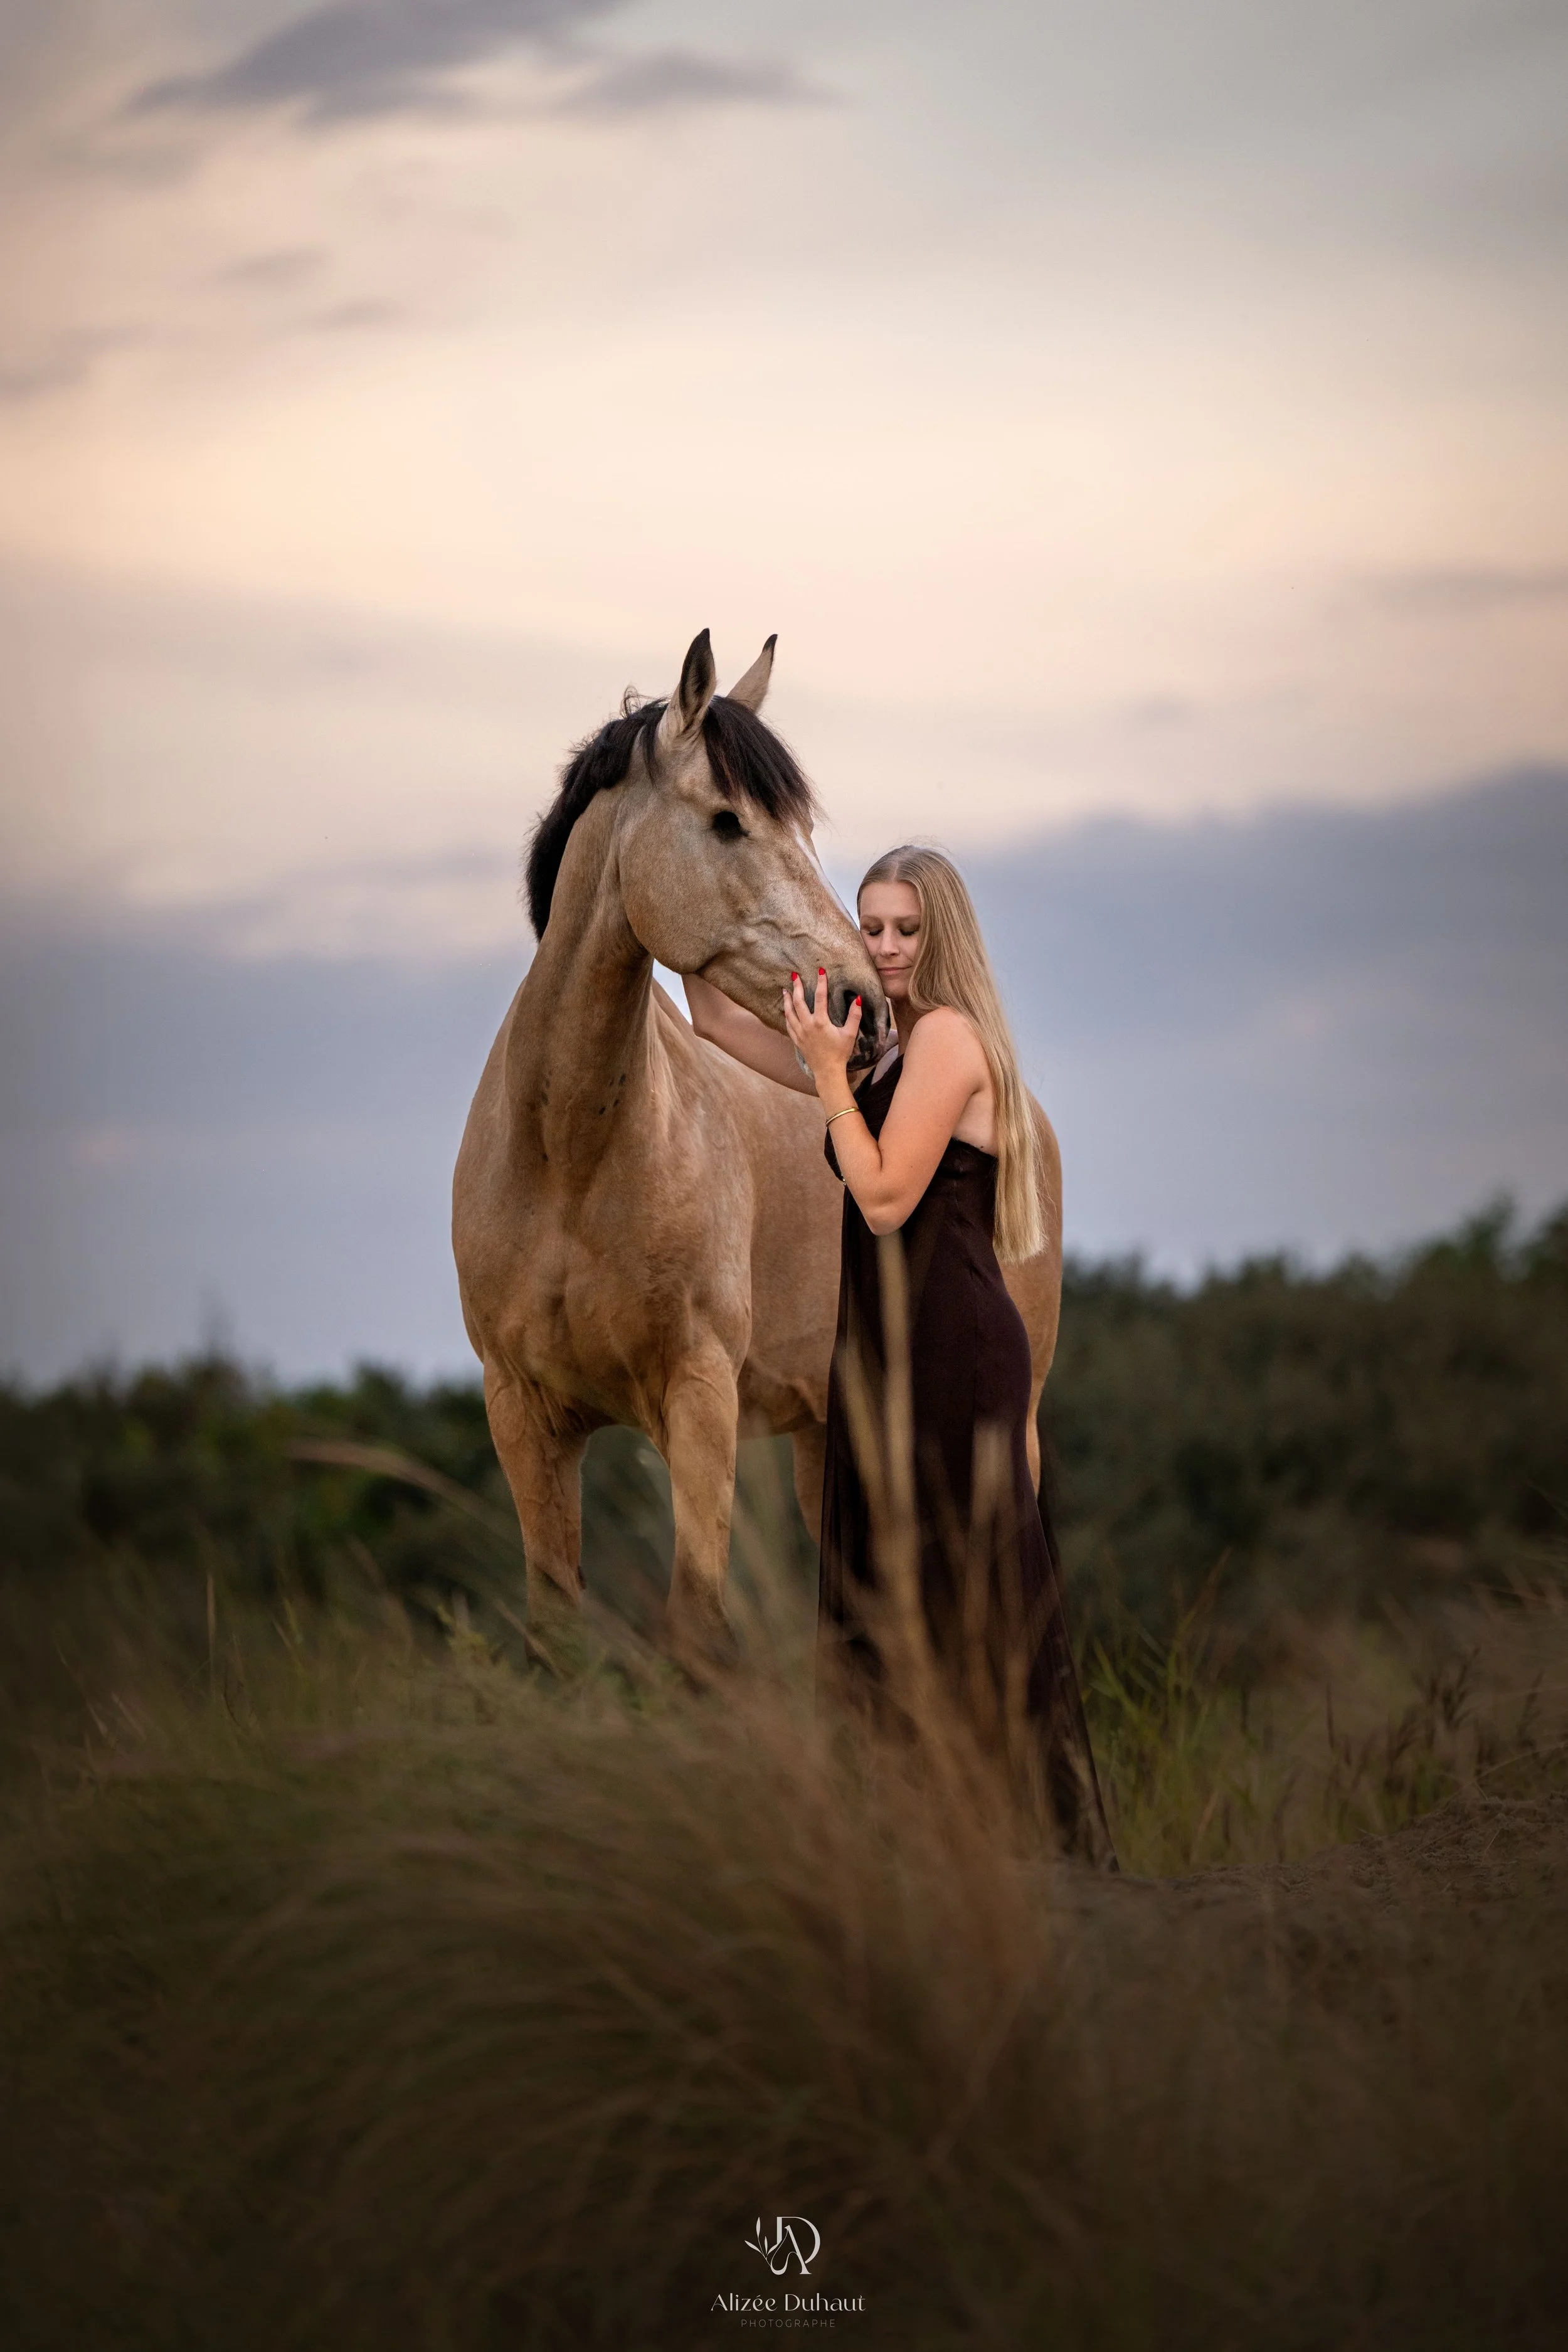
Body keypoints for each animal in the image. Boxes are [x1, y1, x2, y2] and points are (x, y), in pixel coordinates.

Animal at [453, 629, 1064, 1660]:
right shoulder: (524, 1414)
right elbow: (556, 1628)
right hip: (831, 1437)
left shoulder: (699, 1399)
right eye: (729, 822)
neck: (568, 1157)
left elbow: (696, 1625)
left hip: (999, 1431)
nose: (863, 1007)